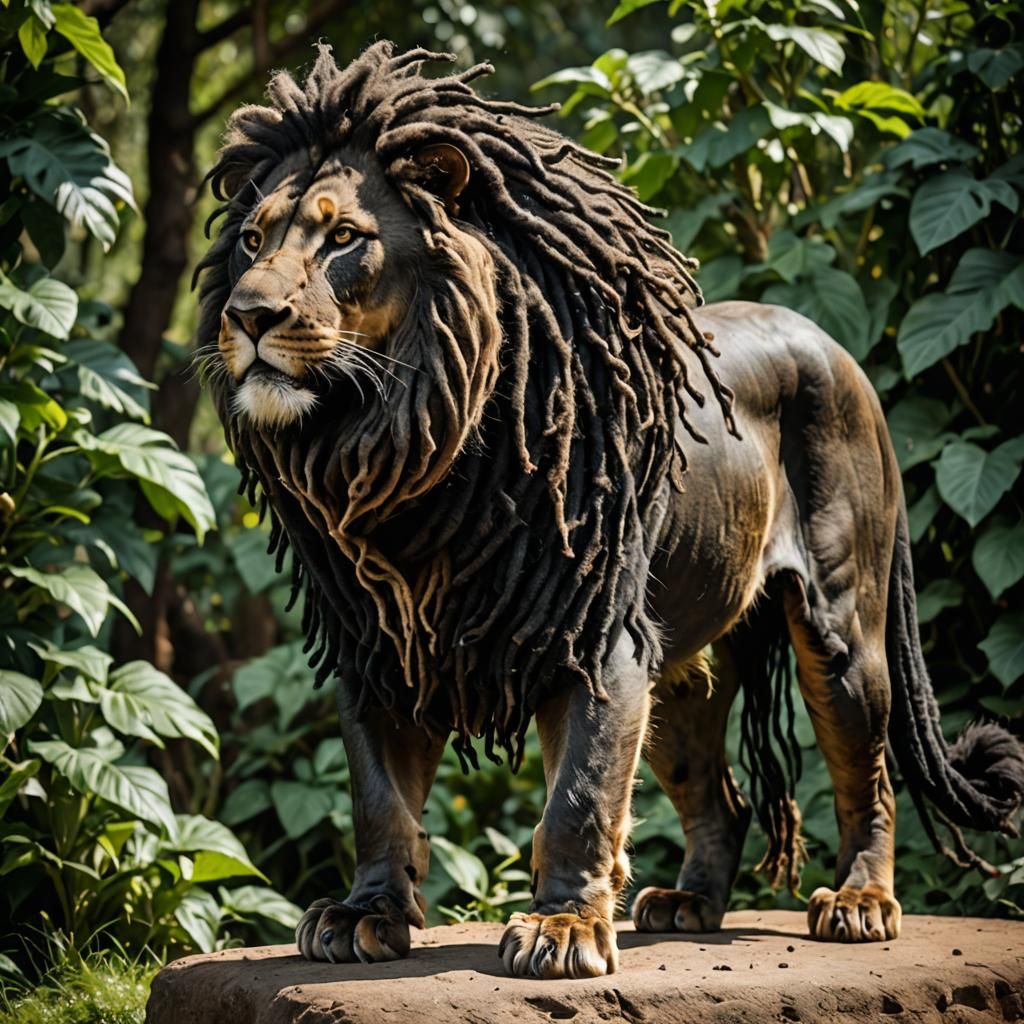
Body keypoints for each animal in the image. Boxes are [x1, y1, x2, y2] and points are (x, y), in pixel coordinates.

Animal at [196, 42, 1024, 979]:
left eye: (343, 238)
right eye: (252, 240)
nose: (247, 314)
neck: (400, 446)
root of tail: (835, 345)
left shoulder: (596, 643)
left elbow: (579, 797)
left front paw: (561, 929)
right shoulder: (379, 646)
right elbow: (379, 799)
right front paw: (363, 914)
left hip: (841, 633)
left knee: (867, 776)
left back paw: (859, 902)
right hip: (681, 670)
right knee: (723, 798)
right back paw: (688, 902)